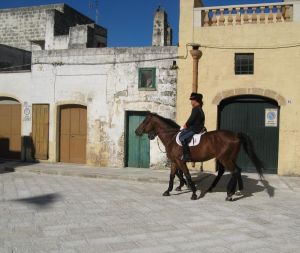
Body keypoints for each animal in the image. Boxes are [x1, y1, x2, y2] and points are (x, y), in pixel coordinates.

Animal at [135, 113, 264, 201]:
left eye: (145, 121)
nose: (137, 132)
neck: (171, 137)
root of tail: (236, 135)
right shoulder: (174, 162)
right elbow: (172, 176)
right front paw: (168, 191)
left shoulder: (180, 161)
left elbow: (186, 175)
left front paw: (193, 193)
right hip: (228, 158)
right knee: (234, 171)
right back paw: (231, 190)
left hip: (225, 159)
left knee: (235, 171)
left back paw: (229, 194)